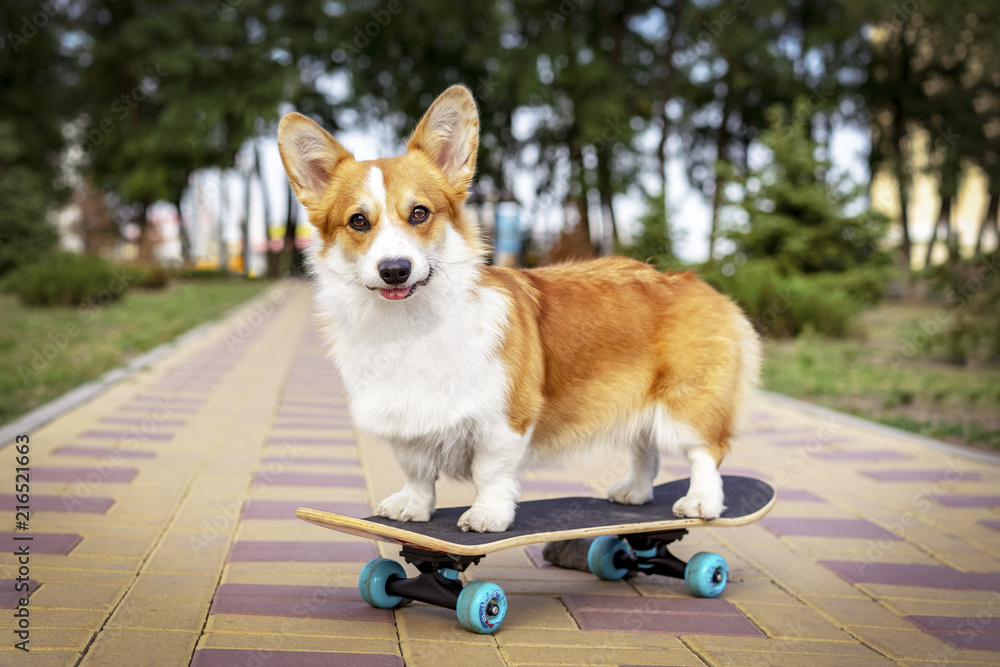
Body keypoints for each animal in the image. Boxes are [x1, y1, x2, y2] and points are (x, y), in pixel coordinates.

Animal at [278, 85, 760, 532]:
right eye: (358, 221)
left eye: (419, 213)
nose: (395, 270)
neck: (409, 325)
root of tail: (701, 285)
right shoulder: (407, 423)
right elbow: (417, 470)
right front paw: (412, 507)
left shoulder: (503, 420)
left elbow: (489, 473)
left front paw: (487, 515)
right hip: (636, 406)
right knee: (646, 451)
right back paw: (635, 492)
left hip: (686, 406)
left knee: (706, 452)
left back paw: (701, 501)